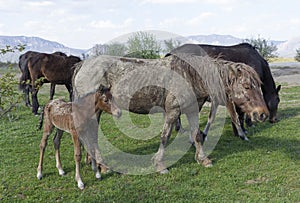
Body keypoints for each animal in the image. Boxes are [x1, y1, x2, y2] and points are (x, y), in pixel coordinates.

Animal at [72, 54, 268, 174]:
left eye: (259, 85)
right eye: (246, 86)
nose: (262, 114)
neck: (189, 75)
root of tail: (82, 65)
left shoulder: (192, 110)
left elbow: (197, 135)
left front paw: (203, 159)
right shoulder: (173, 111)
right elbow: (165, 137)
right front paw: (160, 165)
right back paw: (102, 165)